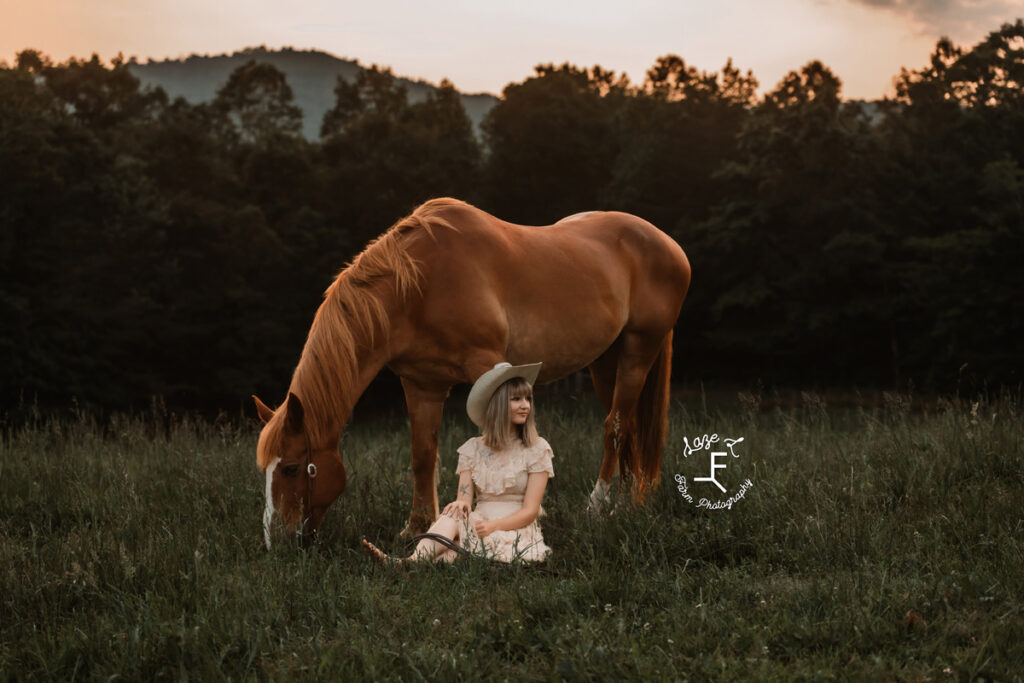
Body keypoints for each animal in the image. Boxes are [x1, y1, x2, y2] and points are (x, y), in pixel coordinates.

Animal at [251, 194, 692, 548]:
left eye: (291, 468)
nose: (277, 543)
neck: (419, 285)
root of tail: (669, 245)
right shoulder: (422, 384)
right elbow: (422, 454)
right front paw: (417, 527)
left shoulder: (490, 368)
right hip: (606, 362)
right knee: (628, 426)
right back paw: (630, 505)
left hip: (639, 349)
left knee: (614, 426)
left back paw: (600, 507)